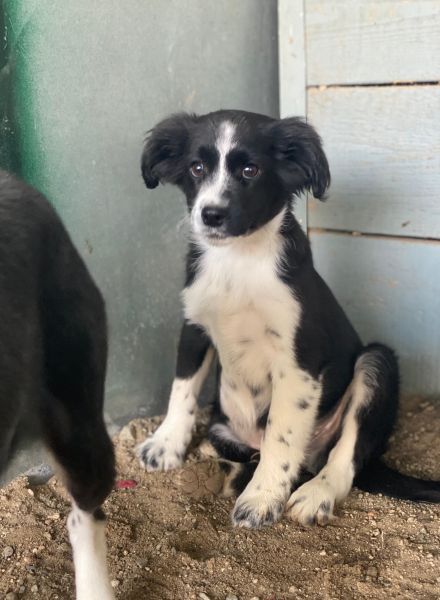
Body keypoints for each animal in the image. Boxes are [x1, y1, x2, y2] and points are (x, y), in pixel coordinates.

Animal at [138, 110, 440, 529]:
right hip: (222, 426)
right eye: (196, 168)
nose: (211, 215)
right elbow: (181, 388)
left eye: (250, 170)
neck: (238, 261)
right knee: (248, 451)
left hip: (376, 362)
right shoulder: (194, 328)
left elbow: (281, 434)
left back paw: (314, 494)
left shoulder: (298, 362)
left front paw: (262, 499)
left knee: (343, 456)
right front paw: (166, 444)